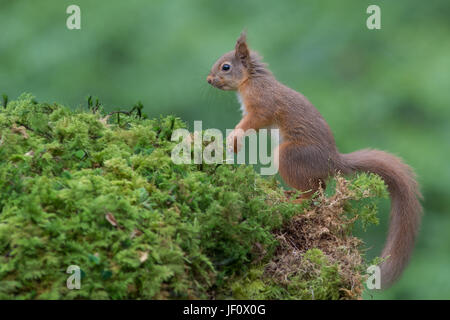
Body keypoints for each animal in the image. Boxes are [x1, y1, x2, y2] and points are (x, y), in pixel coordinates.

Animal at [207, 31, 422, 288]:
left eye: (225, 67)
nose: (208, 79)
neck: (251, 80)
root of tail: (333, 161)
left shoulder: (262, 105)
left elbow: (252, 122)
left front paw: (233, 139)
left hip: (289, 155)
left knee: (313, 191)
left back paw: (294, 202)